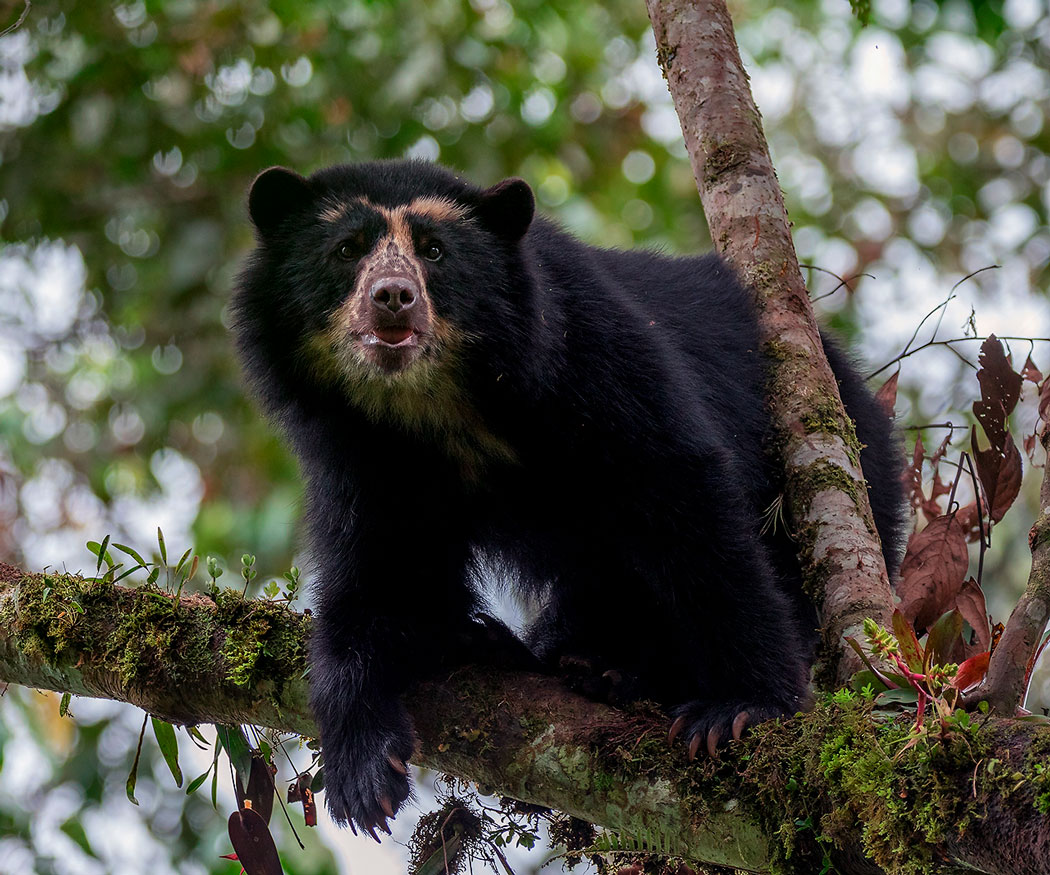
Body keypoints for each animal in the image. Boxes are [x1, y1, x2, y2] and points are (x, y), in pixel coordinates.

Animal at [232, 160, 902, 836]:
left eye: (435, 251)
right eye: (346, 250)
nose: (393, 297)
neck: (437, 403)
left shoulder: (586, 350)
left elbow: (682, 498)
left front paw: (740, 708)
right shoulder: (359, 455)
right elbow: (375, 573)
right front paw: (364, 773)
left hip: (840, 449)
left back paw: (617, 670)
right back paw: (525, 650)